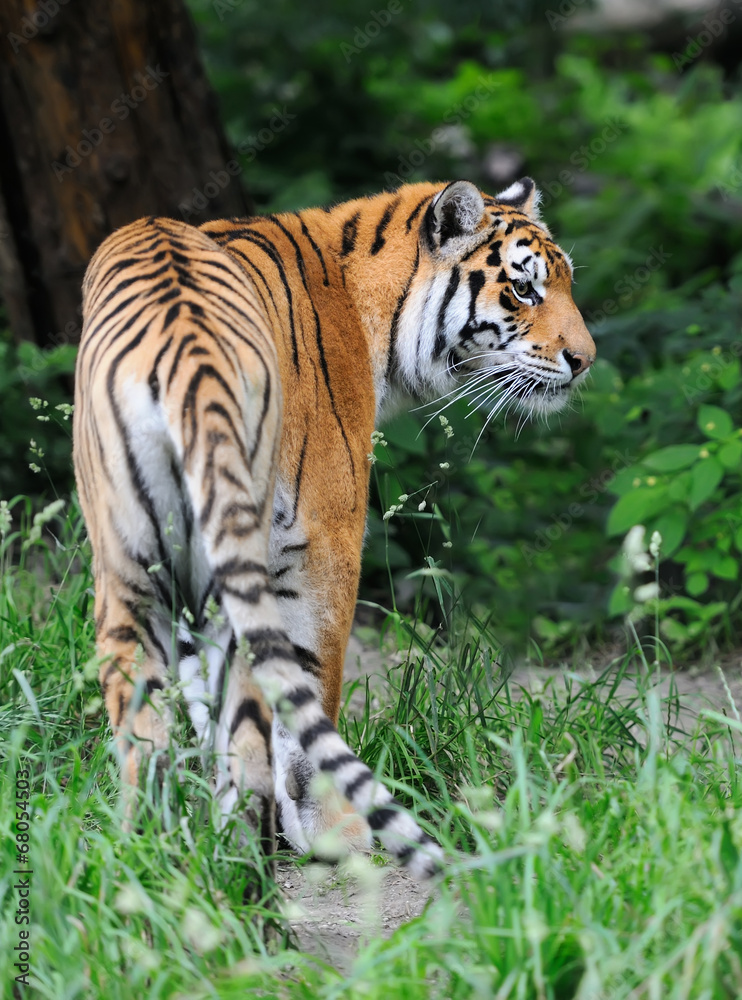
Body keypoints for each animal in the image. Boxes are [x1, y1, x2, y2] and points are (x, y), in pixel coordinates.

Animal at [73, 177, 595, 880]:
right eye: (523, 290)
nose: (585, 360)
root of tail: (182, 342)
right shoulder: (324, 540)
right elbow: (312, 681)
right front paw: (330, 829)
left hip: (126, 567)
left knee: (144, 736)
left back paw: (150, 867)